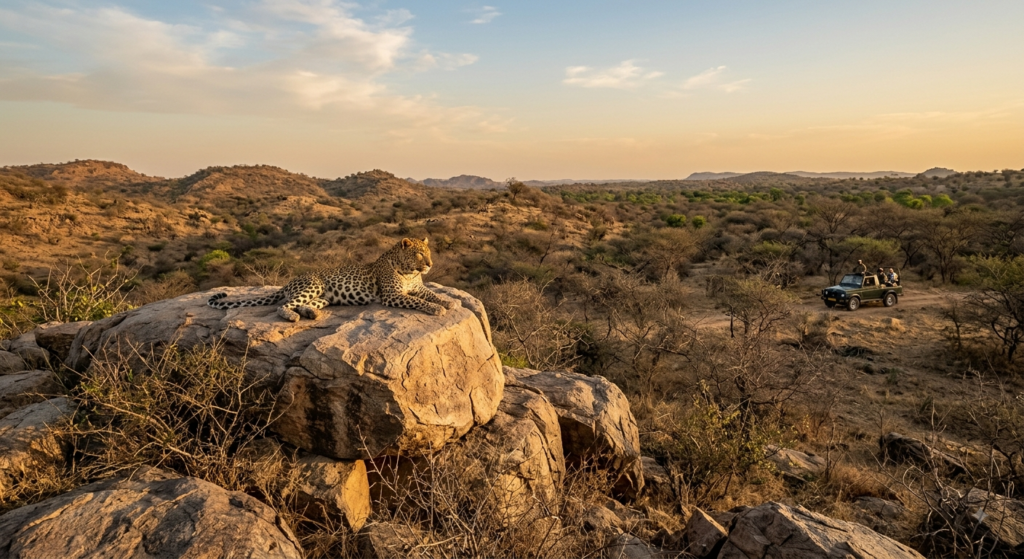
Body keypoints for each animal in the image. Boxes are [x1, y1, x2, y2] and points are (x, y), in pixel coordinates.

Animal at [207, 237, 456, 322]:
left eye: (429, 253)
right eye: (419, 254)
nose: (430, 264)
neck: (410, 271)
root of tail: (289, 281)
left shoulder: (417, 288)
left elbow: (432, 294)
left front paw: (449, 302)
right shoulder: (393, 295)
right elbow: (419, 301)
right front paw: (437, 309)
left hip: (323, 297)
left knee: (304, 305)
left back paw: (312, 314)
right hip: (313, 285)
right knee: (283, 306)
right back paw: (292, 316)